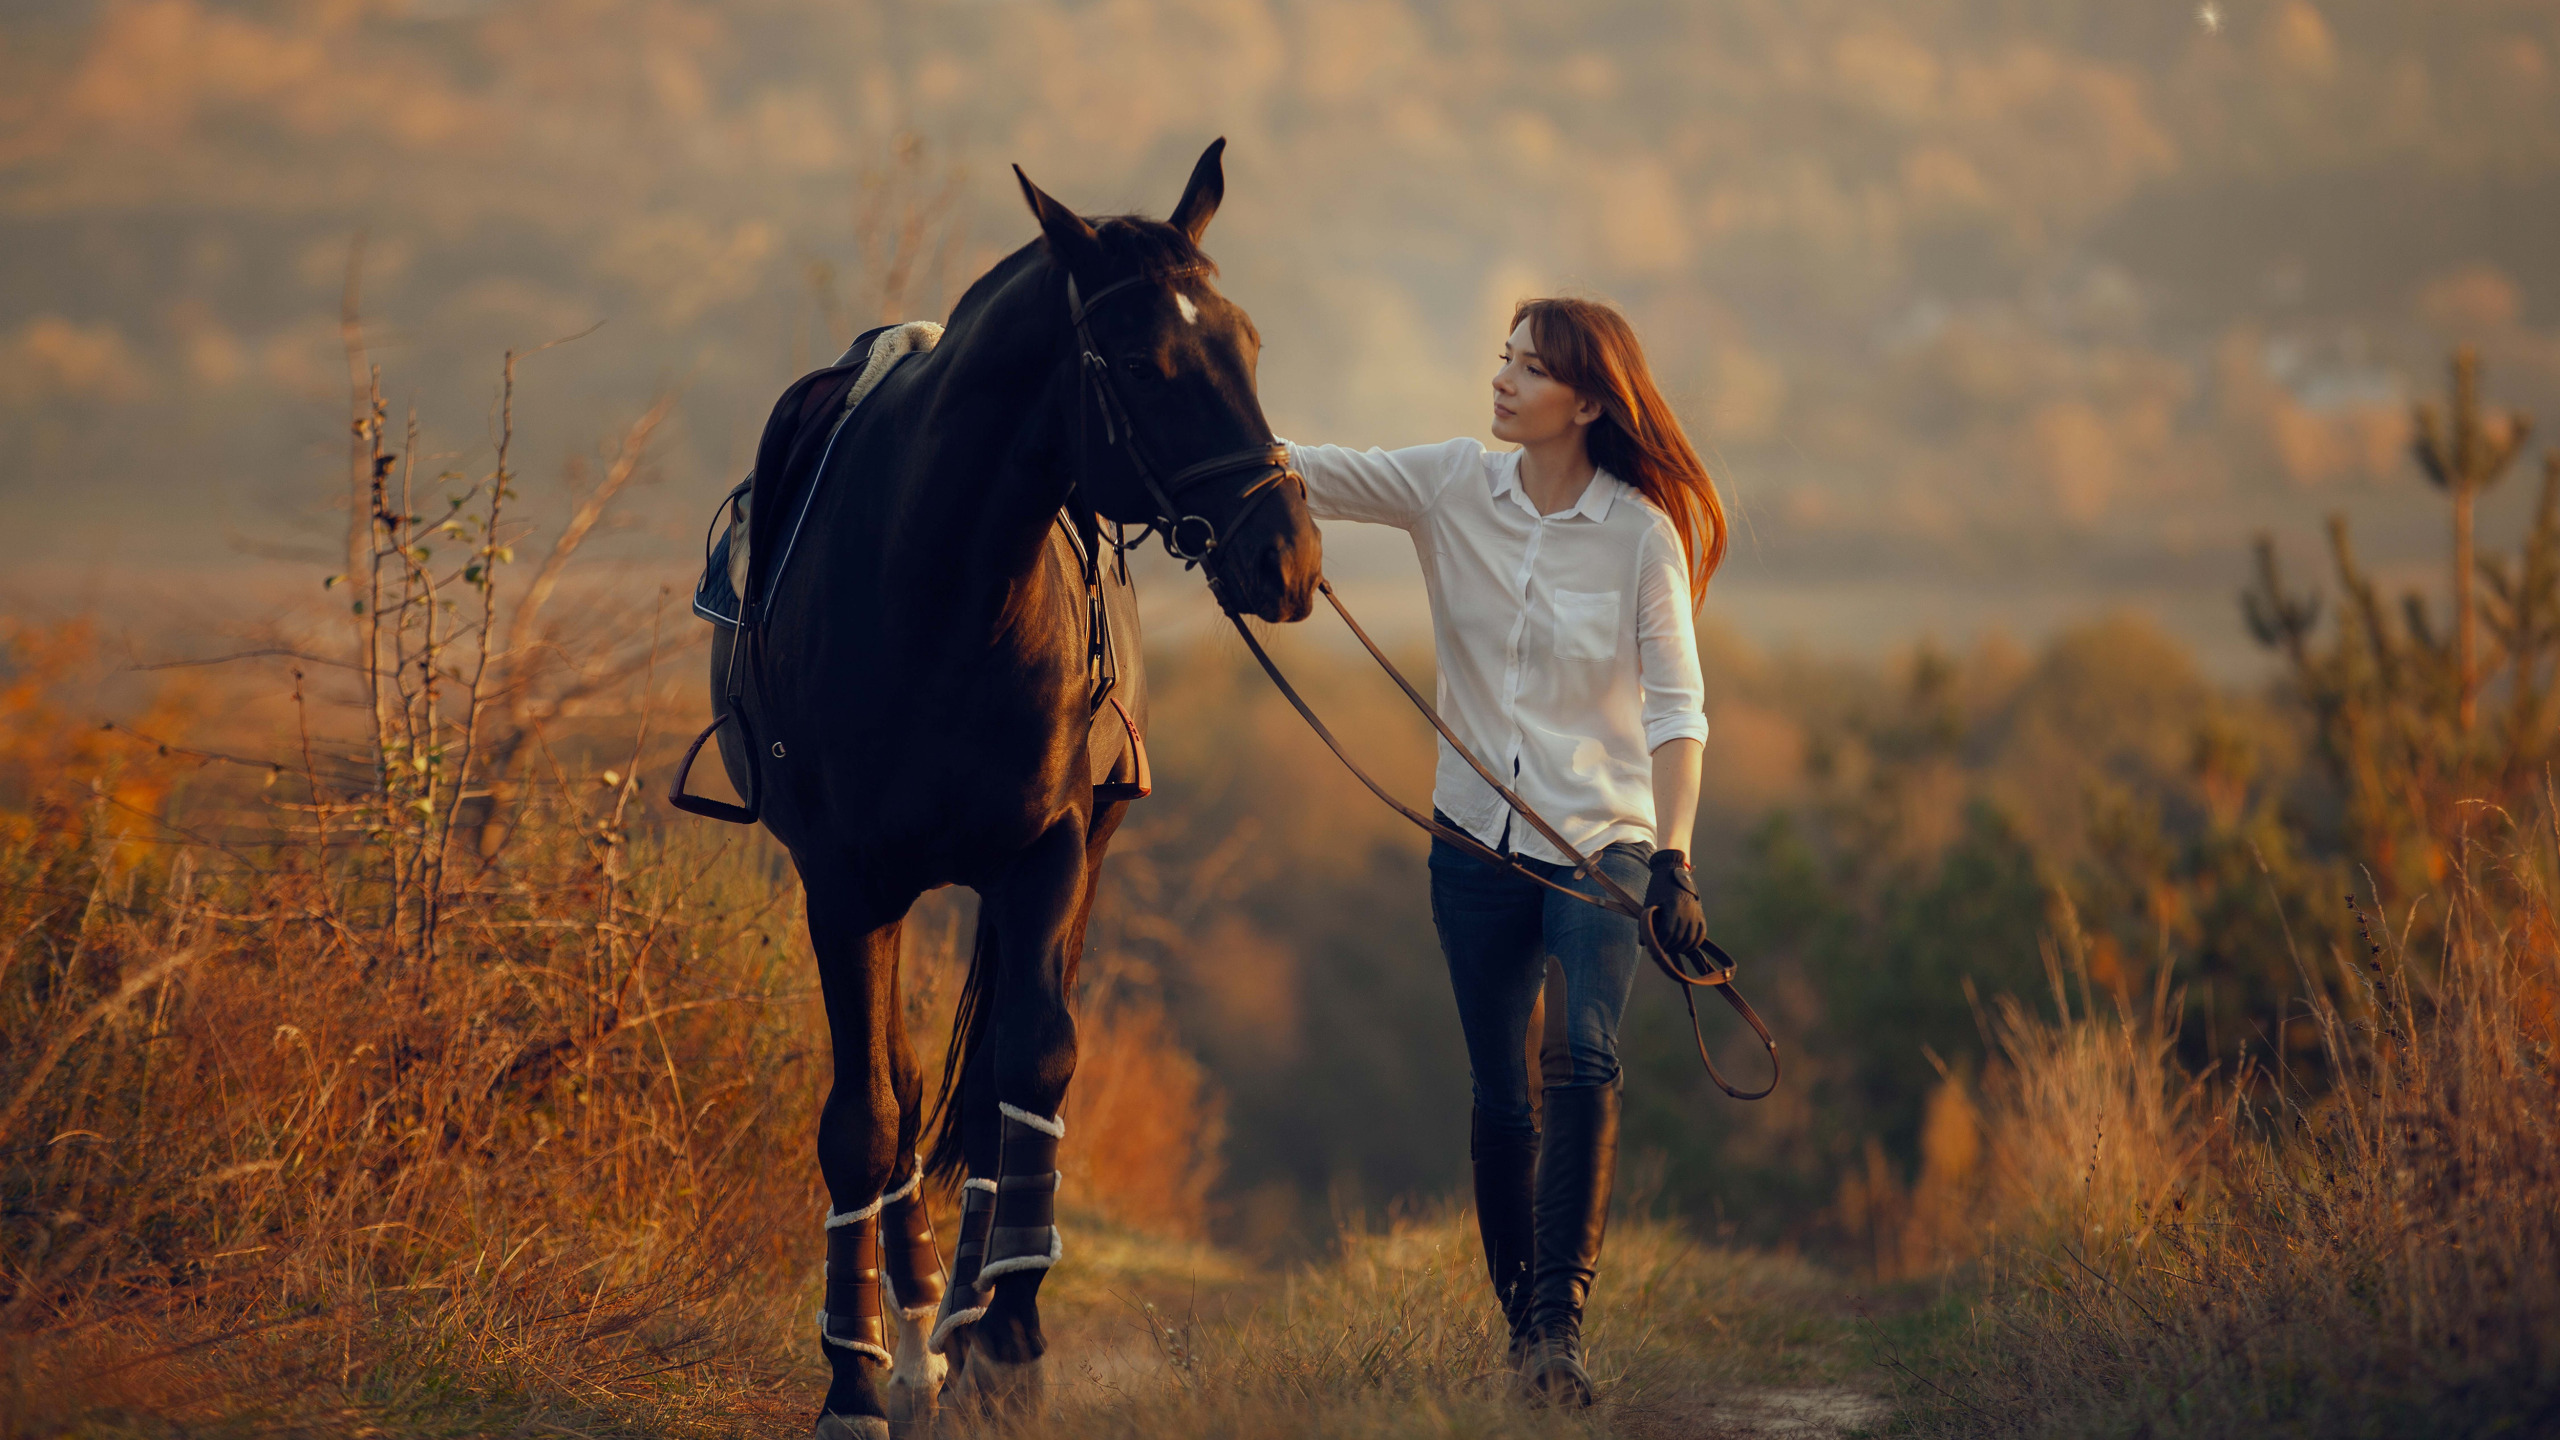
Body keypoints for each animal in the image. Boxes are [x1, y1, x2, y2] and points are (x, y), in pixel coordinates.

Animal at [696, 137, 1320, 1434]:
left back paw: (968, 1320)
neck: (938, 591)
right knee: (904, 1094)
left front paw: (1010, 1341)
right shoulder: (845, 883)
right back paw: (918, 1335)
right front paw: (856, 1376)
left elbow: (1027, 1071)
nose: (1285, 557)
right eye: (1140, 363)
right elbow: (866, 1117)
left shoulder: (1048, 857)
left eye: (1244, 343)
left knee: (991, 1088)